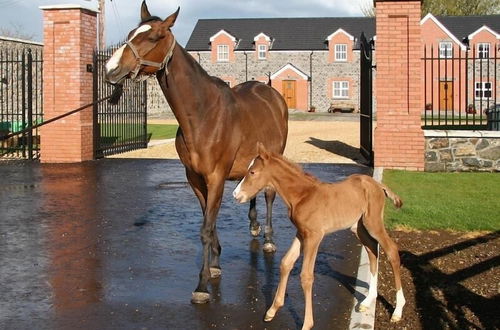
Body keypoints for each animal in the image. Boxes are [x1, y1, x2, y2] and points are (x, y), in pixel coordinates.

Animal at [232, 144, 404, 330]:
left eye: (253, 172)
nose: (235, 194)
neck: (302, 196)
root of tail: (378, 184)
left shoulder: (314, 236)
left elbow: (306, 276)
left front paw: (307, 323)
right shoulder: (301, 233)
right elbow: (286, 263)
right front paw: (272, 310)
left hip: (373, 223)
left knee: (392, 250)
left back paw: (398, 311)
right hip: (357, 227)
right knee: (372, 250)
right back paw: (367, 301)